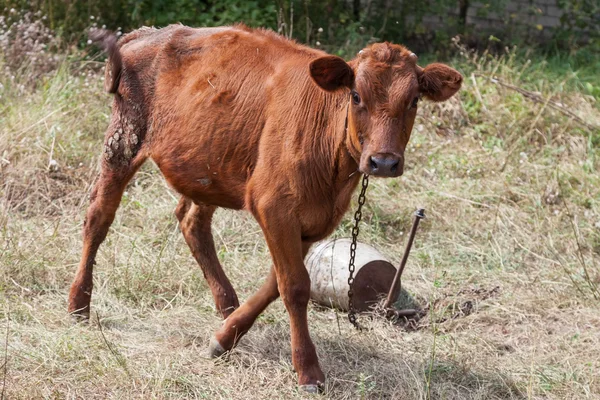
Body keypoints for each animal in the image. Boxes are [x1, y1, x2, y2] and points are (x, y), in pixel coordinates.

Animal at [70, 25, 462, 394]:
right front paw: (308, 370)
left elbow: (277, 282)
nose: (383, 161)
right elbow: (295, 286)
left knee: (192, 222)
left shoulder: (312, 220)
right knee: (98, 218)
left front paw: (225, 336)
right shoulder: (274, 205)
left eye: (414, 100)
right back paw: (78, 304)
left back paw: (226, 305)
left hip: (208, 164)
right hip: (122, 141)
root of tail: (148, 33)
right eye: (356, 96)